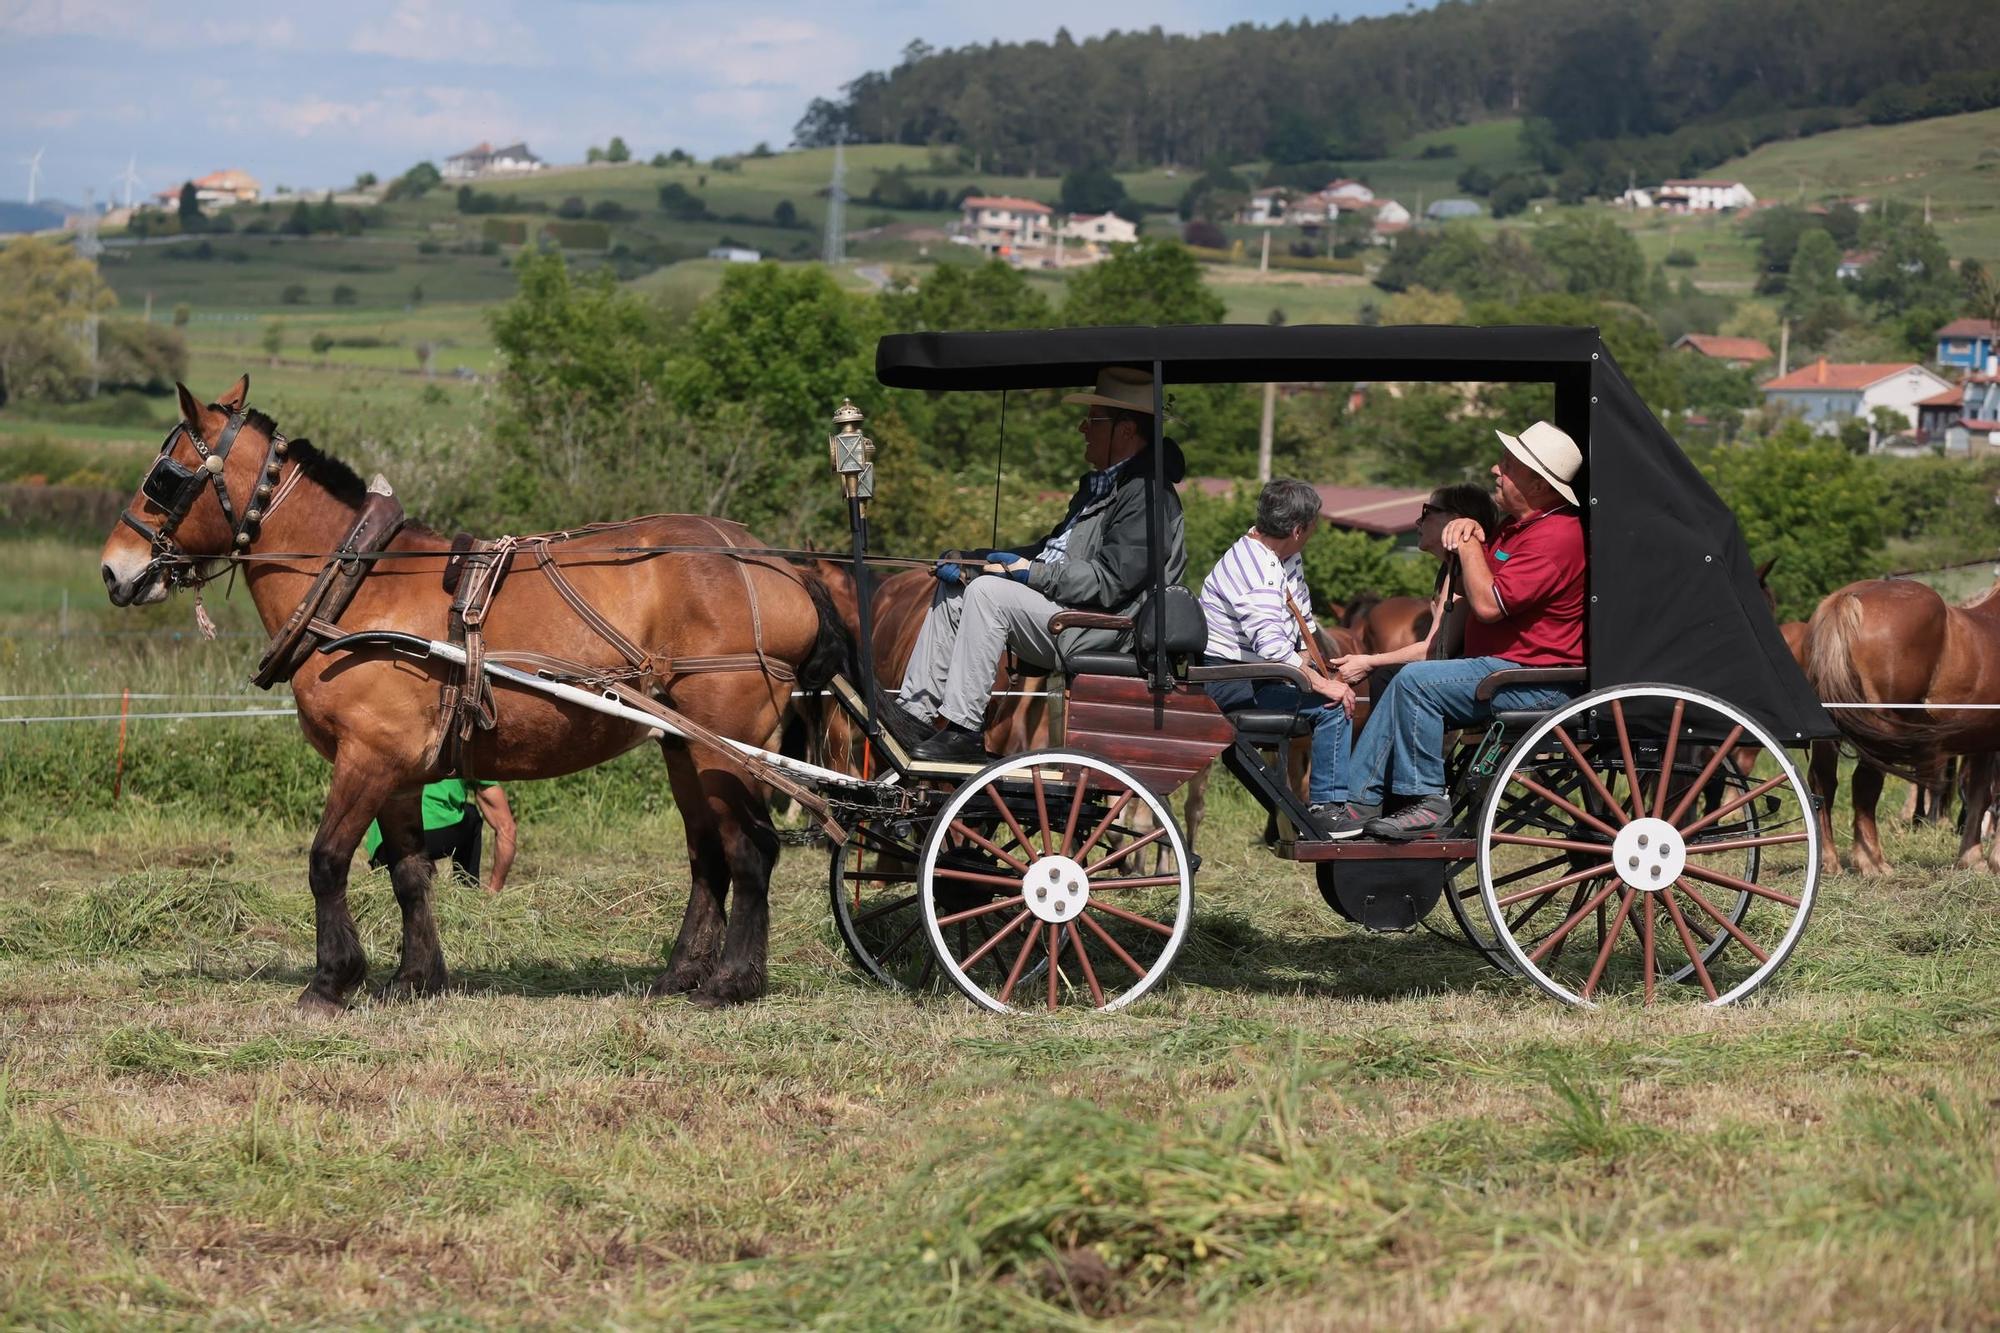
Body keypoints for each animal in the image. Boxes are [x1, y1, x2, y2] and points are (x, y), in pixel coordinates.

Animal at [105, 376, 852, 1008]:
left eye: (164, 478)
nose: (115, 570)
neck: (359, 587)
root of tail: (778, 567)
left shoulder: (366, 756)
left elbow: (326, 860)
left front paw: (331, 980)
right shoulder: (400, 770)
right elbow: (408, 873)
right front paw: (414, 978)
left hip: (725, 747)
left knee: (751, 850)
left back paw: (732, 981)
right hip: (682, 746)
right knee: (707, 856)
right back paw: (679, 974)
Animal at [1800, 572, 2000, 872]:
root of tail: (1848, 599)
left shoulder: (1983, 742)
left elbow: (1979, 793)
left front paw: (1972, 858)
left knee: (1823, 782)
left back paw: (1831, 862)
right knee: (1865, 784)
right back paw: (1873, 864)